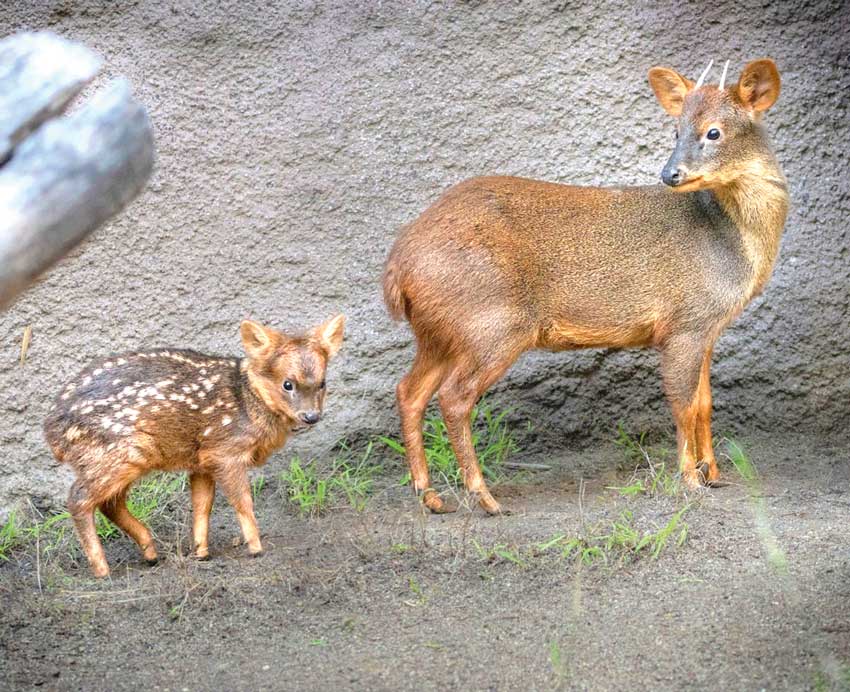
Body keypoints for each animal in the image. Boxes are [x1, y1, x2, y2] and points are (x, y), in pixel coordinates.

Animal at [44, 316, 345, 577]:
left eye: (323, 383)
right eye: (287, 384)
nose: (311, 416)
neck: (248, 401)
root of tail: (51, 431)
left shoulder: (203, 458)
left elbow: (202, 505)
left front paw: (201, 552)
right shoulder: (226, 451)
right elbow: (243, 501)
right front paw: (256, 548)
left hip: (119, 457)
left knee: (110, 503)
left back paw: (151, 553)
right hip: (118, 452)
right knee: (79, 498)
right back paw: (102, 570)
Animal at [383, 59, 788, 515]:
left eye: (713, 132)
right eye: (676, 130)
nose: (670, 174)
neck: (734, 244)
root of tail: (398, 267)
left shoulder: (707, 329)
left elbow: (704, 403)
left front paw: (714, 474)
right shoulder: (684, 324)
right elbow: (682, 404)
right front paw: (690, 479)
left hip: (439, 332)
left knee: (409, 392)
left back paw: (430, 495)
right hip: (492, 324)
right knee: (454, 398)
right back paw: (484, 497)